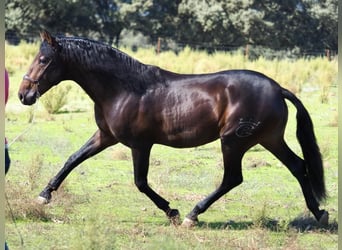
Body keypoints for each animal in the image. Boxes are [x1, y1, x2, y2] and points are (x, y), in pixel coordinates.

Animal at [17, 31, 328, 227]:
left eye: (43, 60)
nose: (23, 95)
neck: (124, 88)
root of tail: (277, 88)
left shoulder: (140, 145)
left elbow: (141, 183)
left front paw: (173, 212)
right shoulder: (106, 136)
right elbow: (72, 159)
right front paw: (44, 196)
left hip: (233, 142)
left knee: (233, 178)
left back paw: (193, 215)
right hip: (269, 139)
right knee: (298, 166)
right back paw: (319, 213)